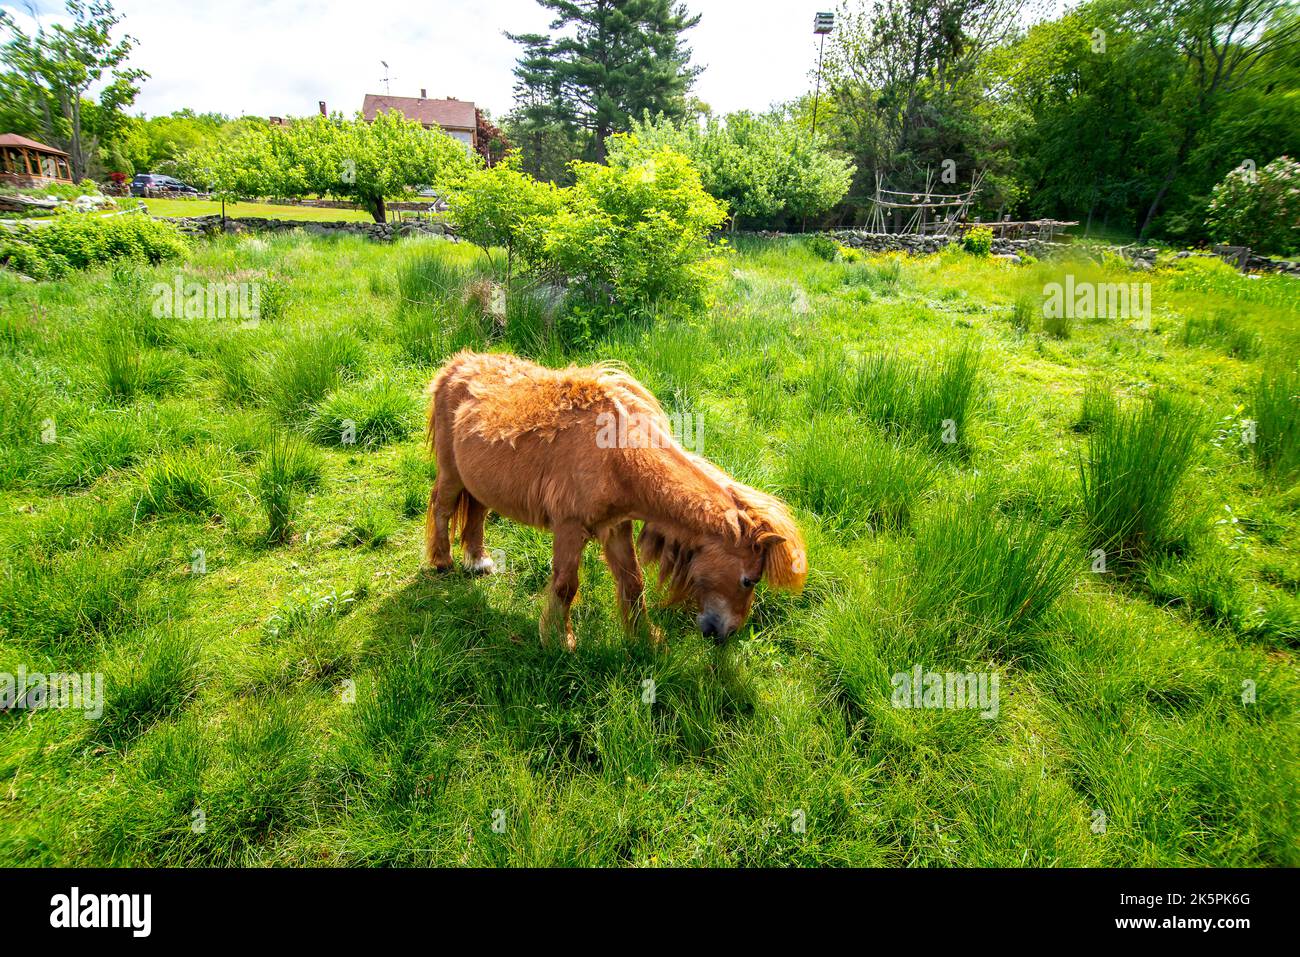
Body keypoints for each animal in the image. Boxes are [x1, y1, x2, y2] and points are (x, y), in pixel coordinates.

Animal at [426, 351, 800, 650]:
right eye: (749, 579)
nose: (727, 633)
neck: (615, 455)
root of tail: (456, 365)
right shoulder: (570, 528)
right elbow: (565, 586)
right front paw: (560, 641)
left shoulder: (617, 527)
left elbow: (633, 582)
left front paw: (646, 638)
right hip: (451, 473)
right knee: (442, 507)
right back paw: (442, 562)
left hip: (478, 482)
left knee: (477, 512)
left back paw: (478, 561)